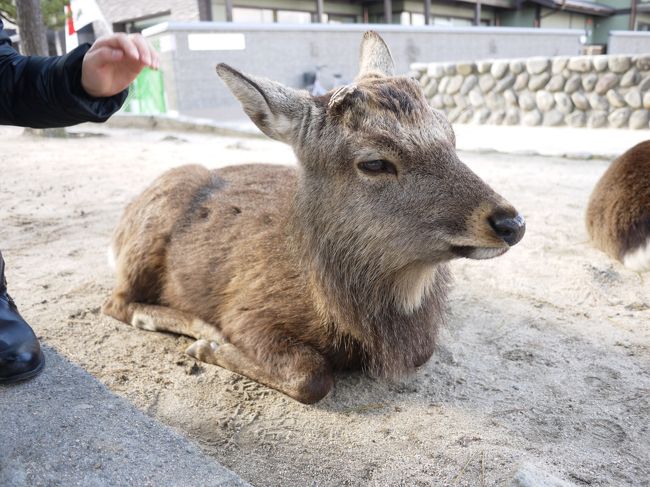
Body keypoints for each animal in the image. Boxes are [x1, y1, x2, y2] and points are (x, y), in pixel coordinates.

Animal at [104, 31, 524, 404]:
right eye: (374, 162)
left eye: (451, 134)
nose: (512, 224)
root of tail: (121, 225)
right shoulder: (245, 309)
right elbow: (312, 376)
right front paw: (211, 348)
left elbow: (424, 353)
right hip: (148, 234)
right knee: (116, 303)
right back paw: (200, 329)